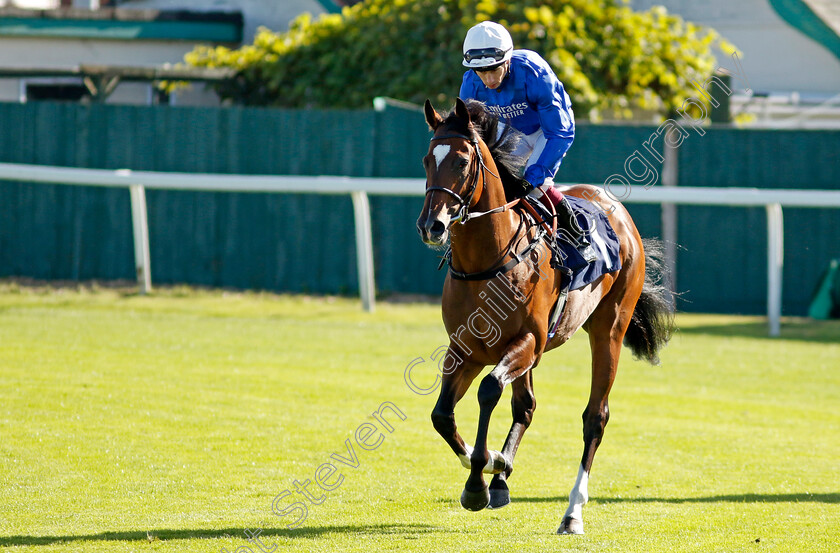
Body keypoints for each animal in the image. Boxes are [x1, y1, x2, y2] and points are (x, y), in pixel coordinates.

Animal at [416, 99, 672, 536]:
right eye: (426, 160)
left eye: (463, 160)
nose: (431, 225)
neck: (489, 260)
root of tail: (619, 212)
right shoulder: (466, 348)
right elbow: (442, 415)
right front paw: (489, 465)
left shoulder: (528, 341)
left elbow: (489, 391)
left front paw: (478, 481)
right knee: (526, 405)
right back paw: (502, 477)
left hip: (608, 329)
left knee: (595, 418)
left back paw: (572, 513)